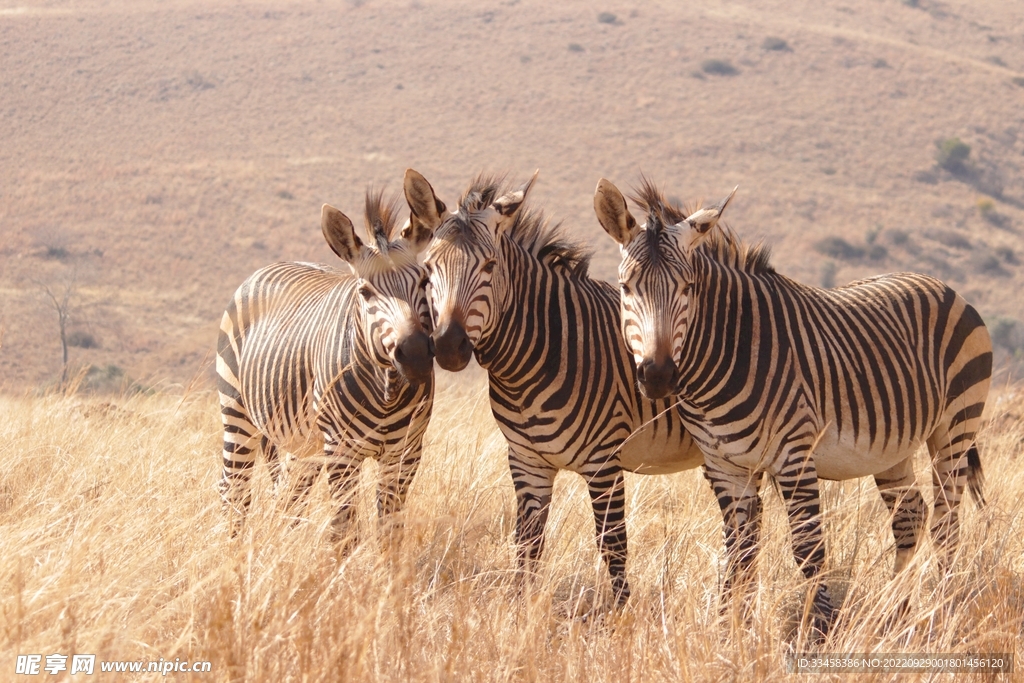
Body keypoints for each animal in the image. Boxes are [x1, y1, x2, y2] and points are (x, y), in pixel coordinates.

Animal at [216, 180, 440, 540]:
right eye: (365, 292)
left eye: (423, 282)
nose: (416, 355)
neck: (387, 392)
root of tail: (269, 266)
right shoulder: (341, 450)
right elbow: (344, 530)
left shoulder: (405, 452)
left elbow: (390, 530)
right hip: (237, 411)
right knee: (233, 488)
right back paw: (231, 546)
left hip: (303, 443)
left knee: (288, 494)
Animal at [403, 169, 708, 602]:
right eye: (428, 269)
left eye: (490, 266)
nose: (448, 346)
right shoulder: (527, 460)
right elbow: (527, 544)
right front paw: (521, 608)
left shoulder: (604, 462)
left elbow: (613, 546)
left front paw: (623, 614)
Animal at [593, 178, 991, 634]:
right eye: (626, 288)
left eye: (688, 288)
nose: (658, 376)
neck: (729, 351)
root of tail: (943, 285)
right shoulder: (725, 465)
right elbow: (740, 552)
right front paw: (732, 629)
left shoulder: (794, 456)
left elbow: (808, 550)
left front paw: (821, 629)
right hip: (895, 446)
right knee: (911, 515)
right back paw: (897, 613)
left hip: (955, 428)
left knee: (948, 524)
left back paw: (943, 610)